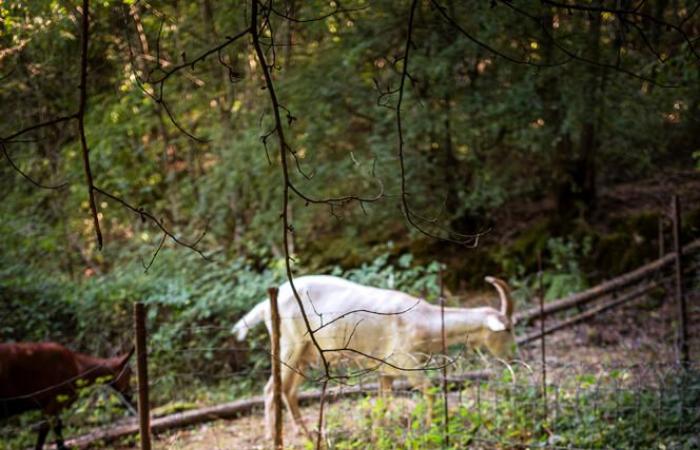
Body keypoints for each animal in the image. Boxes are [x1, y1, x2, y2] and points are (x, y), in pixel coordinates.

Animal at [234, 272, 516, 438]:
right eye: (508, 329)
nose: (512, 357)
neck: (425, 321)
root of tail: (266, 304)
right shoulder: (405, 362)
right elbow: (430, 391)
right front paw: (433, 425)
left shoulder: (385, 370)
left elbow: (384, 404)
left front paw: (378, 433)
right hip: (288, 344)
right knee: (271, 389)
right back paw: (272, 437)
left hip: (307, 352)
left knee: (289, 390)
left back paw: (309, 434)